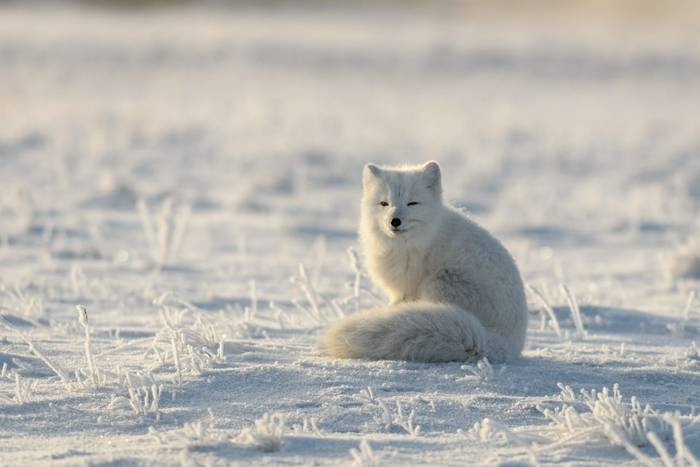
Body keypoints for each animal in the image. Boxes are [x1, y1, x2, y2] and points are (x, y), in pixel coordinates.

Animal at [320, 161, 528, 363]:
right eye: (384, 203)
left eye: (412, 203)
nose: (394, 221)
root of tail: (504, 342)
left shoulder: (407, 287)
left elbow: (398, 303)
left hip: (437, 282)